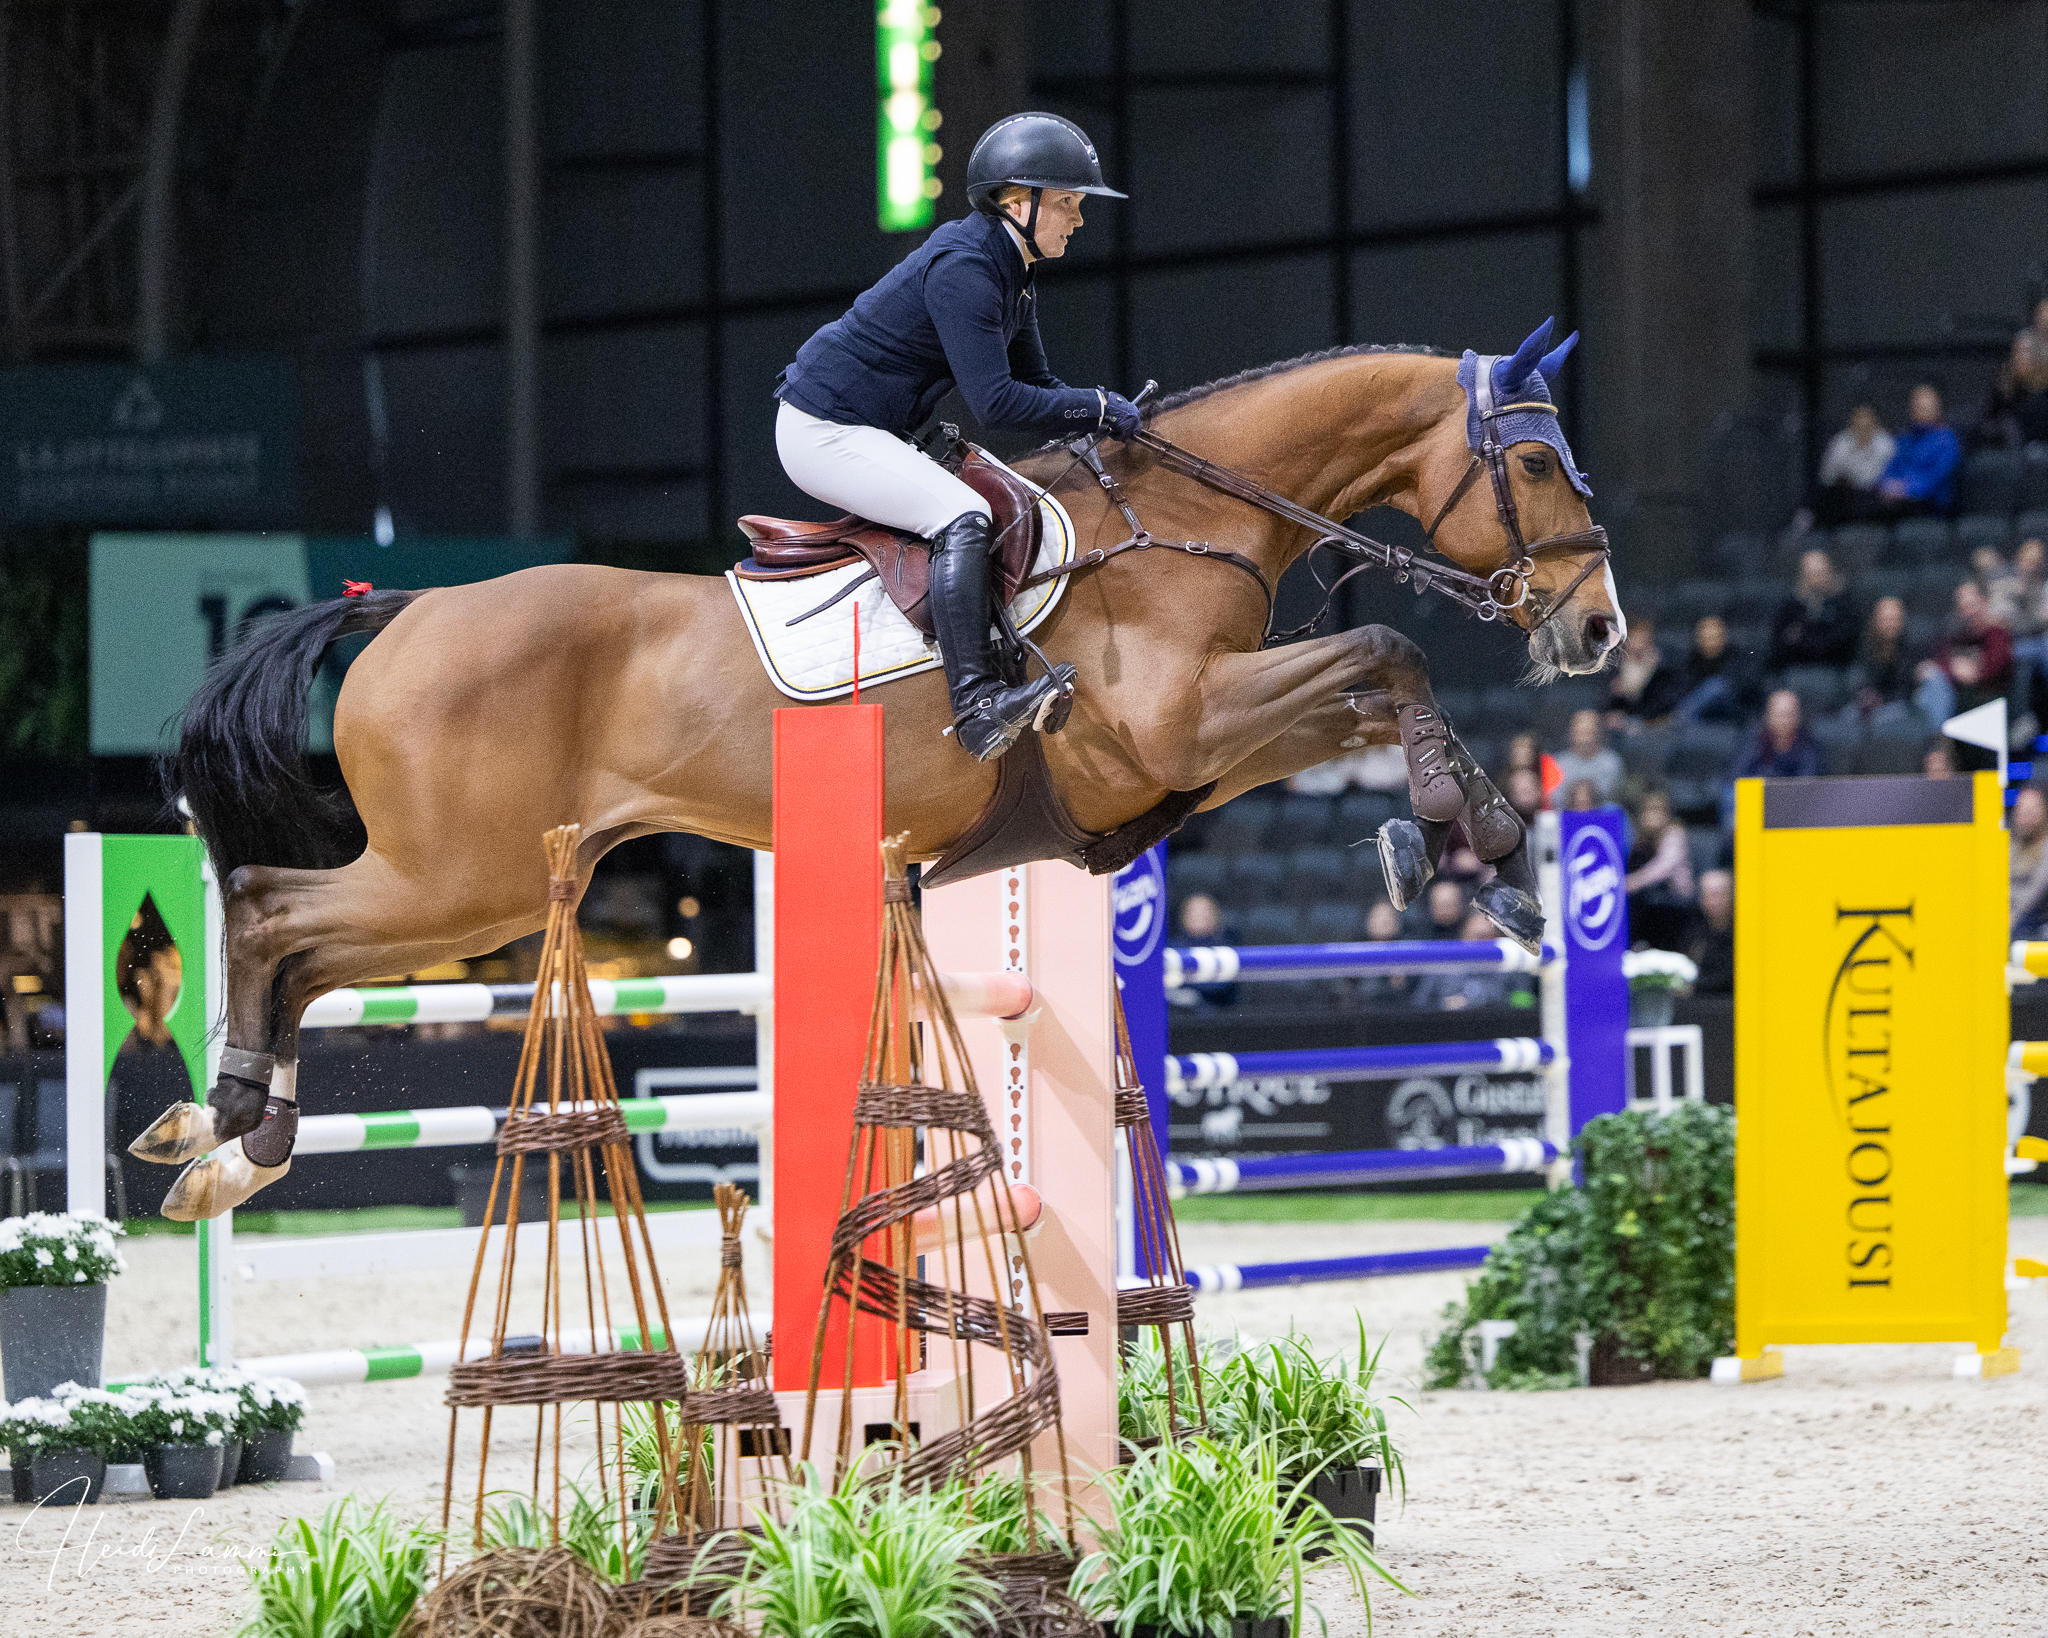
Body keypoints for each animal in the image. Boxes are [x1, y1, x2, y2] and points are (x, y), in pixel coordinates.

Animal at [135, 319, 1622, 1218]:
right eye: (1535, 461)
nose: (1599, 629)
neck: (1182, 521)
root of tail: (401, 607)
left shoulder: (1197, 752)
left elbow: (1376, 685)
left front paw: (1469, 847)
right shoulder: (1182, 727)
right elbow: (1387, 646)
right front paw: (1476, 843)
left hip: (467, 883)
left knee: (301, 946)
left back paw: (235, 1145)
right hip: (466, 877)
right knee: (271, 909)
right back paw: (220, 1120)